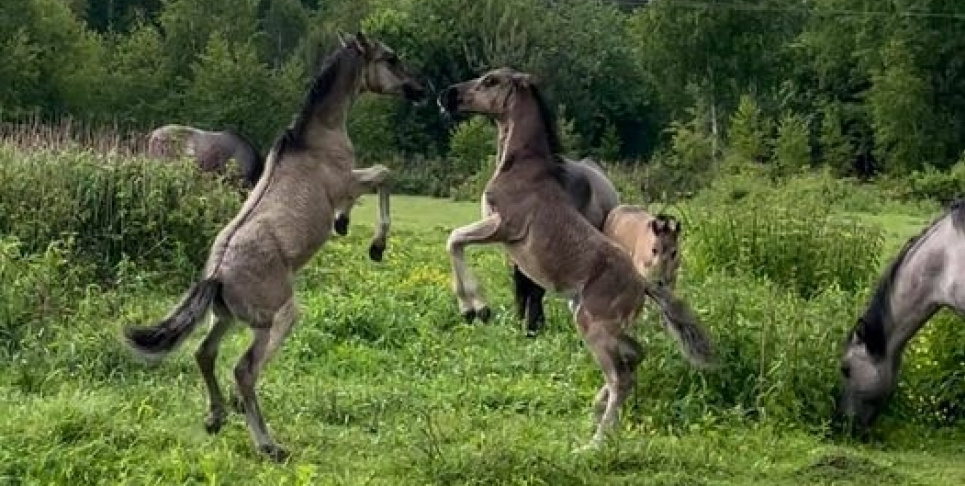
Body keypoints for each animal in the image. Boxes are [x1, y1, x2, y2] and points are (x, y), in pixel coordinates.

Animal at [120, 32, 426, 462]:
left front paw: (345, 224)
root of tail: (216, 276)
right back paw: (267, 443)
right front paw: (375, 245)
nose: (420, 89)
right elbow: (384, 174)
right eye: (391, 58)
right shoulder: (348, 182)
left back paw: (216, 416)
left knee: (205, 354)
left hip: (225, 318)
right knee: (245, 369)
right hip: (278, 316)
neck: (314, 138)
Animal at [436, 66, 716, 450]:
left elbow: (455, 240)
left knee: (621, 377)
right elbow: (456, 241)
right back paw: (597, 409)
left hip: (591, 325)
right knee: (635, 357)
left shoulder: (504, 227)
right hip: (600, 324)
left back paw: (594, 442)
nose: (447, 95)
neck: (520, 168)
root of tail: (644, 283)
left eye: (490, 81)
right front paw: (475, 308)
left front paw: (475, 308)